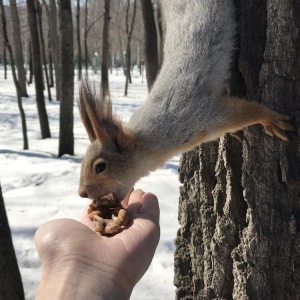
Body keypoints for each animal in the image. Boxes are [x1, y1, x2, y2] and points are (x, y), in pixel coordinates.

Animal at [77, 0, 292, 202]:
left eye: (100, 167)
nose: (81, 193)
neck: (148, 140)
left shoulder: (196, 117)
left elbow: (241, 112)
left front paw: (268, 118)